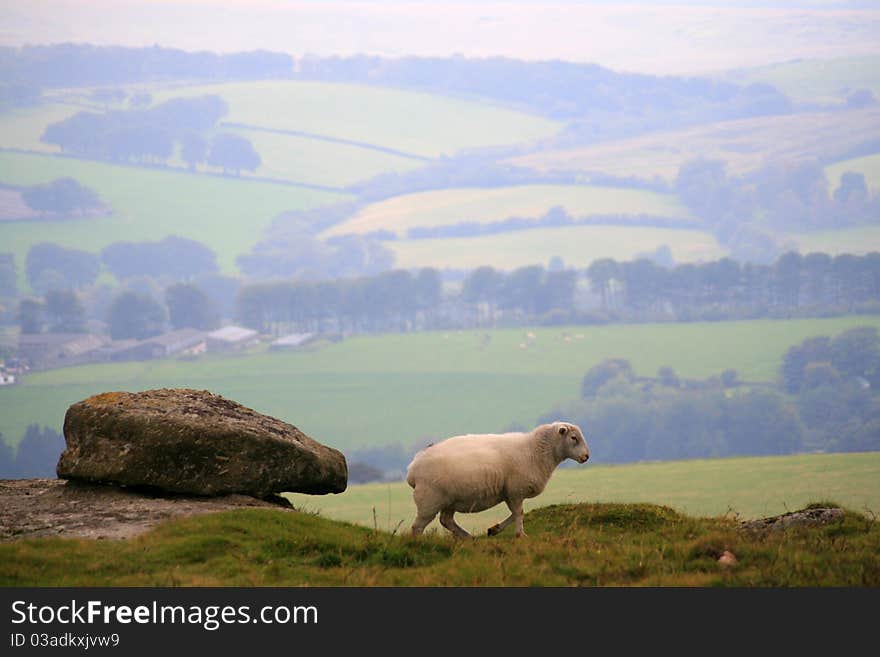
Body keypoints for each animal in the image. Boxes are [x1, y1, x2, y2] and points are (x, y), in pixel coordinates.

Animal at [406, 420, 592, 540]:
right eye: (574, 438)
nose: (586, 457)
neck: (534, 451)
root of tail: (413, 468)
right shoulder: (515, 491)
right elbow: (519, 513)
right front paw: (521, 535)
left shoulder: (510, 493)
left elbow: (516, 513)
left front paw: (494, 530)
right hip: (429, 501)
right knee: (418, 527)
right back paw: (418, 544)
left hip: (450, 500)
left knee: (446, 520)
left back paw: (467, 537)